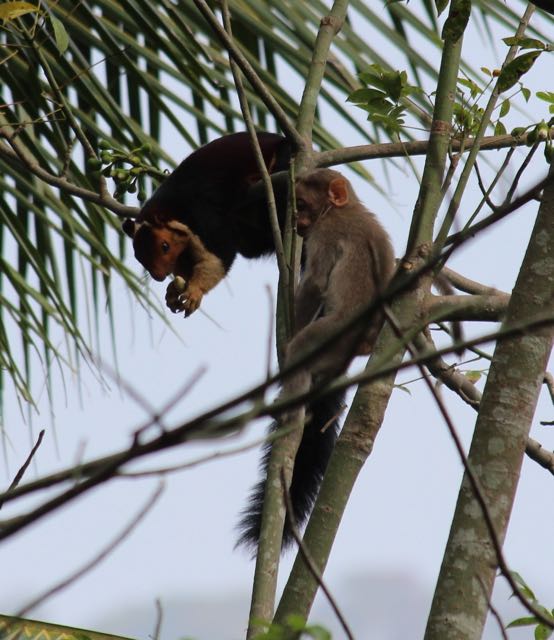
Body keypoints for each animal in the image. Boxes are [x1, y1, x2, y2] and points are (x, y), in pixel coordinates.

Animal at [122, 131, 290, 315]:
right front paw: (173, 292)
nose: (158, 277)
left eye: (164, 246)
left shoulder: (205, 215)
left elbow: (219, 256)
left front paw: (195, 292)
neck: (175, 206)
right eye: (138, 257)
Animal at [237, 168, 396, 551]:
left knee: (305, 345)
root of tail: (364, 341)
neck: (346, 208)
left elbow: (316, 284)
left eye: (306, 204)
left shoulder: (327, 234)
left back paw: (291, 410)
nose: (299, 223)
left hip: (333, 334)